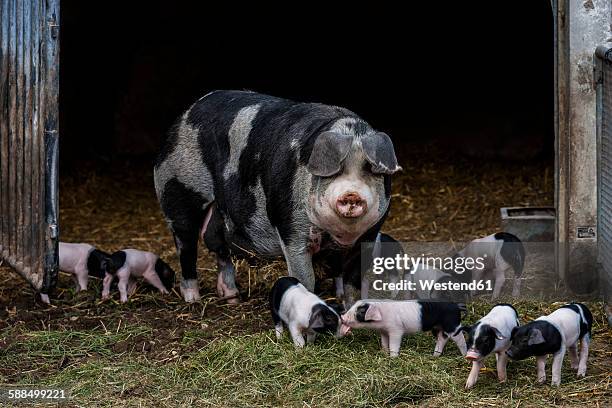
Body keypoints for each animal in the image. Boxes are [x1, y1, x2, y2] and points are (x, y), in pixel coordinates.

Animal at [155, 91, 400, 302]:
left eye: (372, 170)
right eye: (333, 171)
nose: (351, 194)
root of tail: (186, 114)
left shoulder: (369, 234)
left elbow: (354, 282)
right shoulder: (290, 226)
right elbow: (305, 278)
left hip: (219, 211)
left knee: (217, 242)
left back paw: (232, 297)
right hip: (178, 191)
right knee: (186, 246)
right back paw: (193, 299)